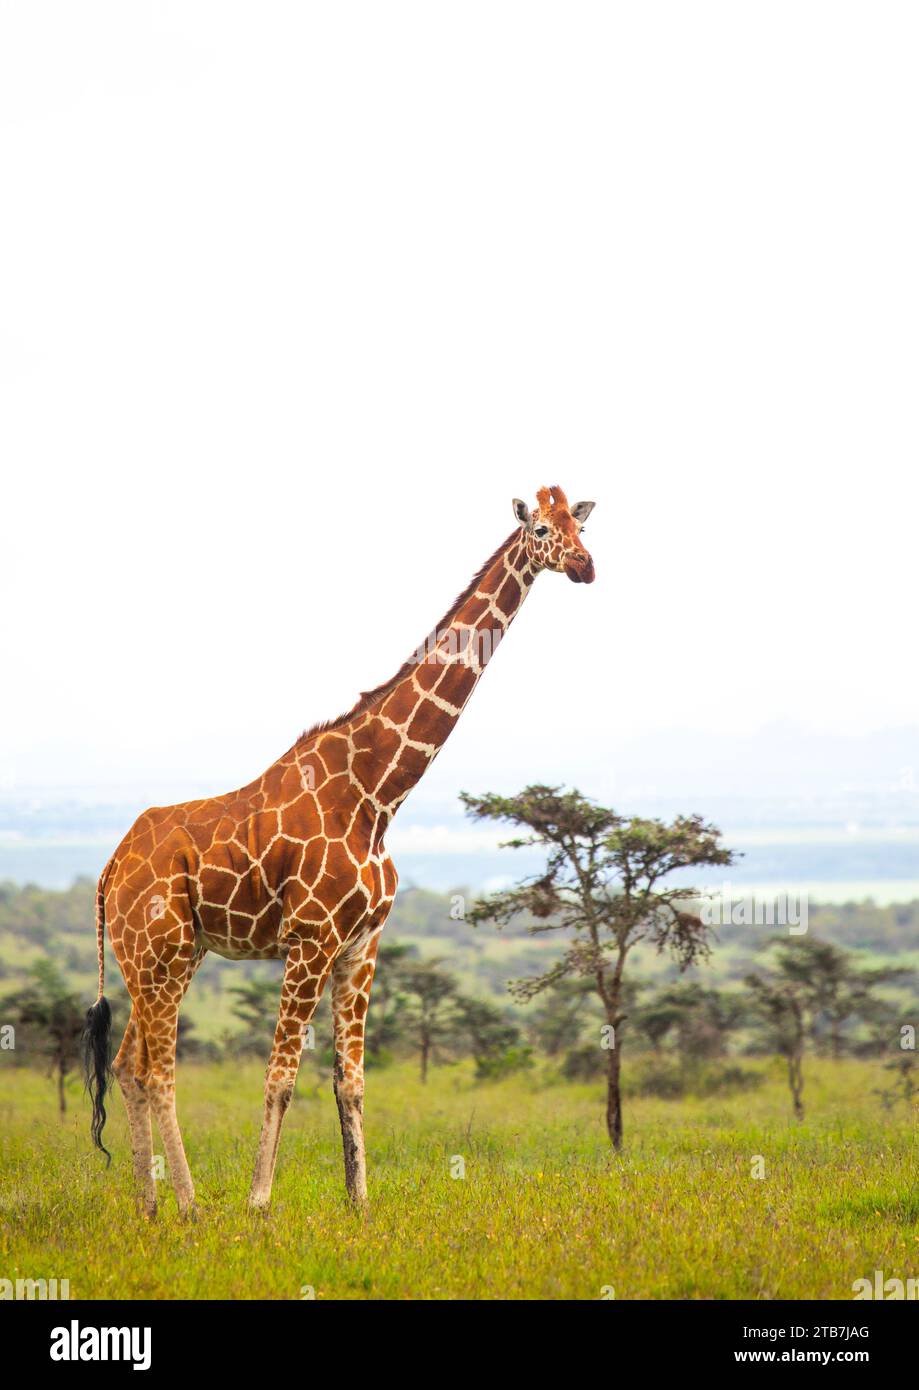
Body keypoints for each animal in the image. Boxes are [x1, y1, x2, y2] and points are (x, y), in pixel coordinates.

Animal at [83, 484, 596, 1216]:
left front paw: (360, 1206)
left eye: (581, 527)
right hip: (159, 952)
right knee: (157, 1071)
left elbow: (349, 1081)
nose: (585, 567)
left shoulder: (361, 945)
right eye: (544, 530)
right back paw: (190, 1208)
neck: (378, 795)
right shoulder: (310, 939)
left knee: (129, 1066)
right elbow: (279, 1077)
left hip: (165, 957)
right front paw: (258, 1205)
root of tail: (107, 870)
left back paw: (151, 1210)